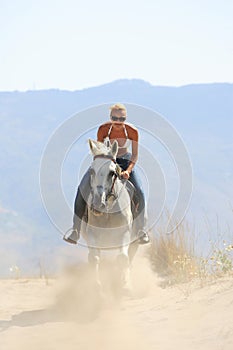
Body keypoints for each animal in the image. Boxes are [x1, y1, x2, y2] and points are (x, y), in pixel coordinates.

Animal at [80, 138, 137, 292]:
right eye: (92, 170)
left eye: (112, 173)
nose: (97, 204)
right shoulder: (92, 234)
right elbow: (94, 258)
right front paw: (97, 286)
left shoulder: (125, 233)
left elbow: (123, 258)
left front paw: (124, 284)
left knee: (129, 257)